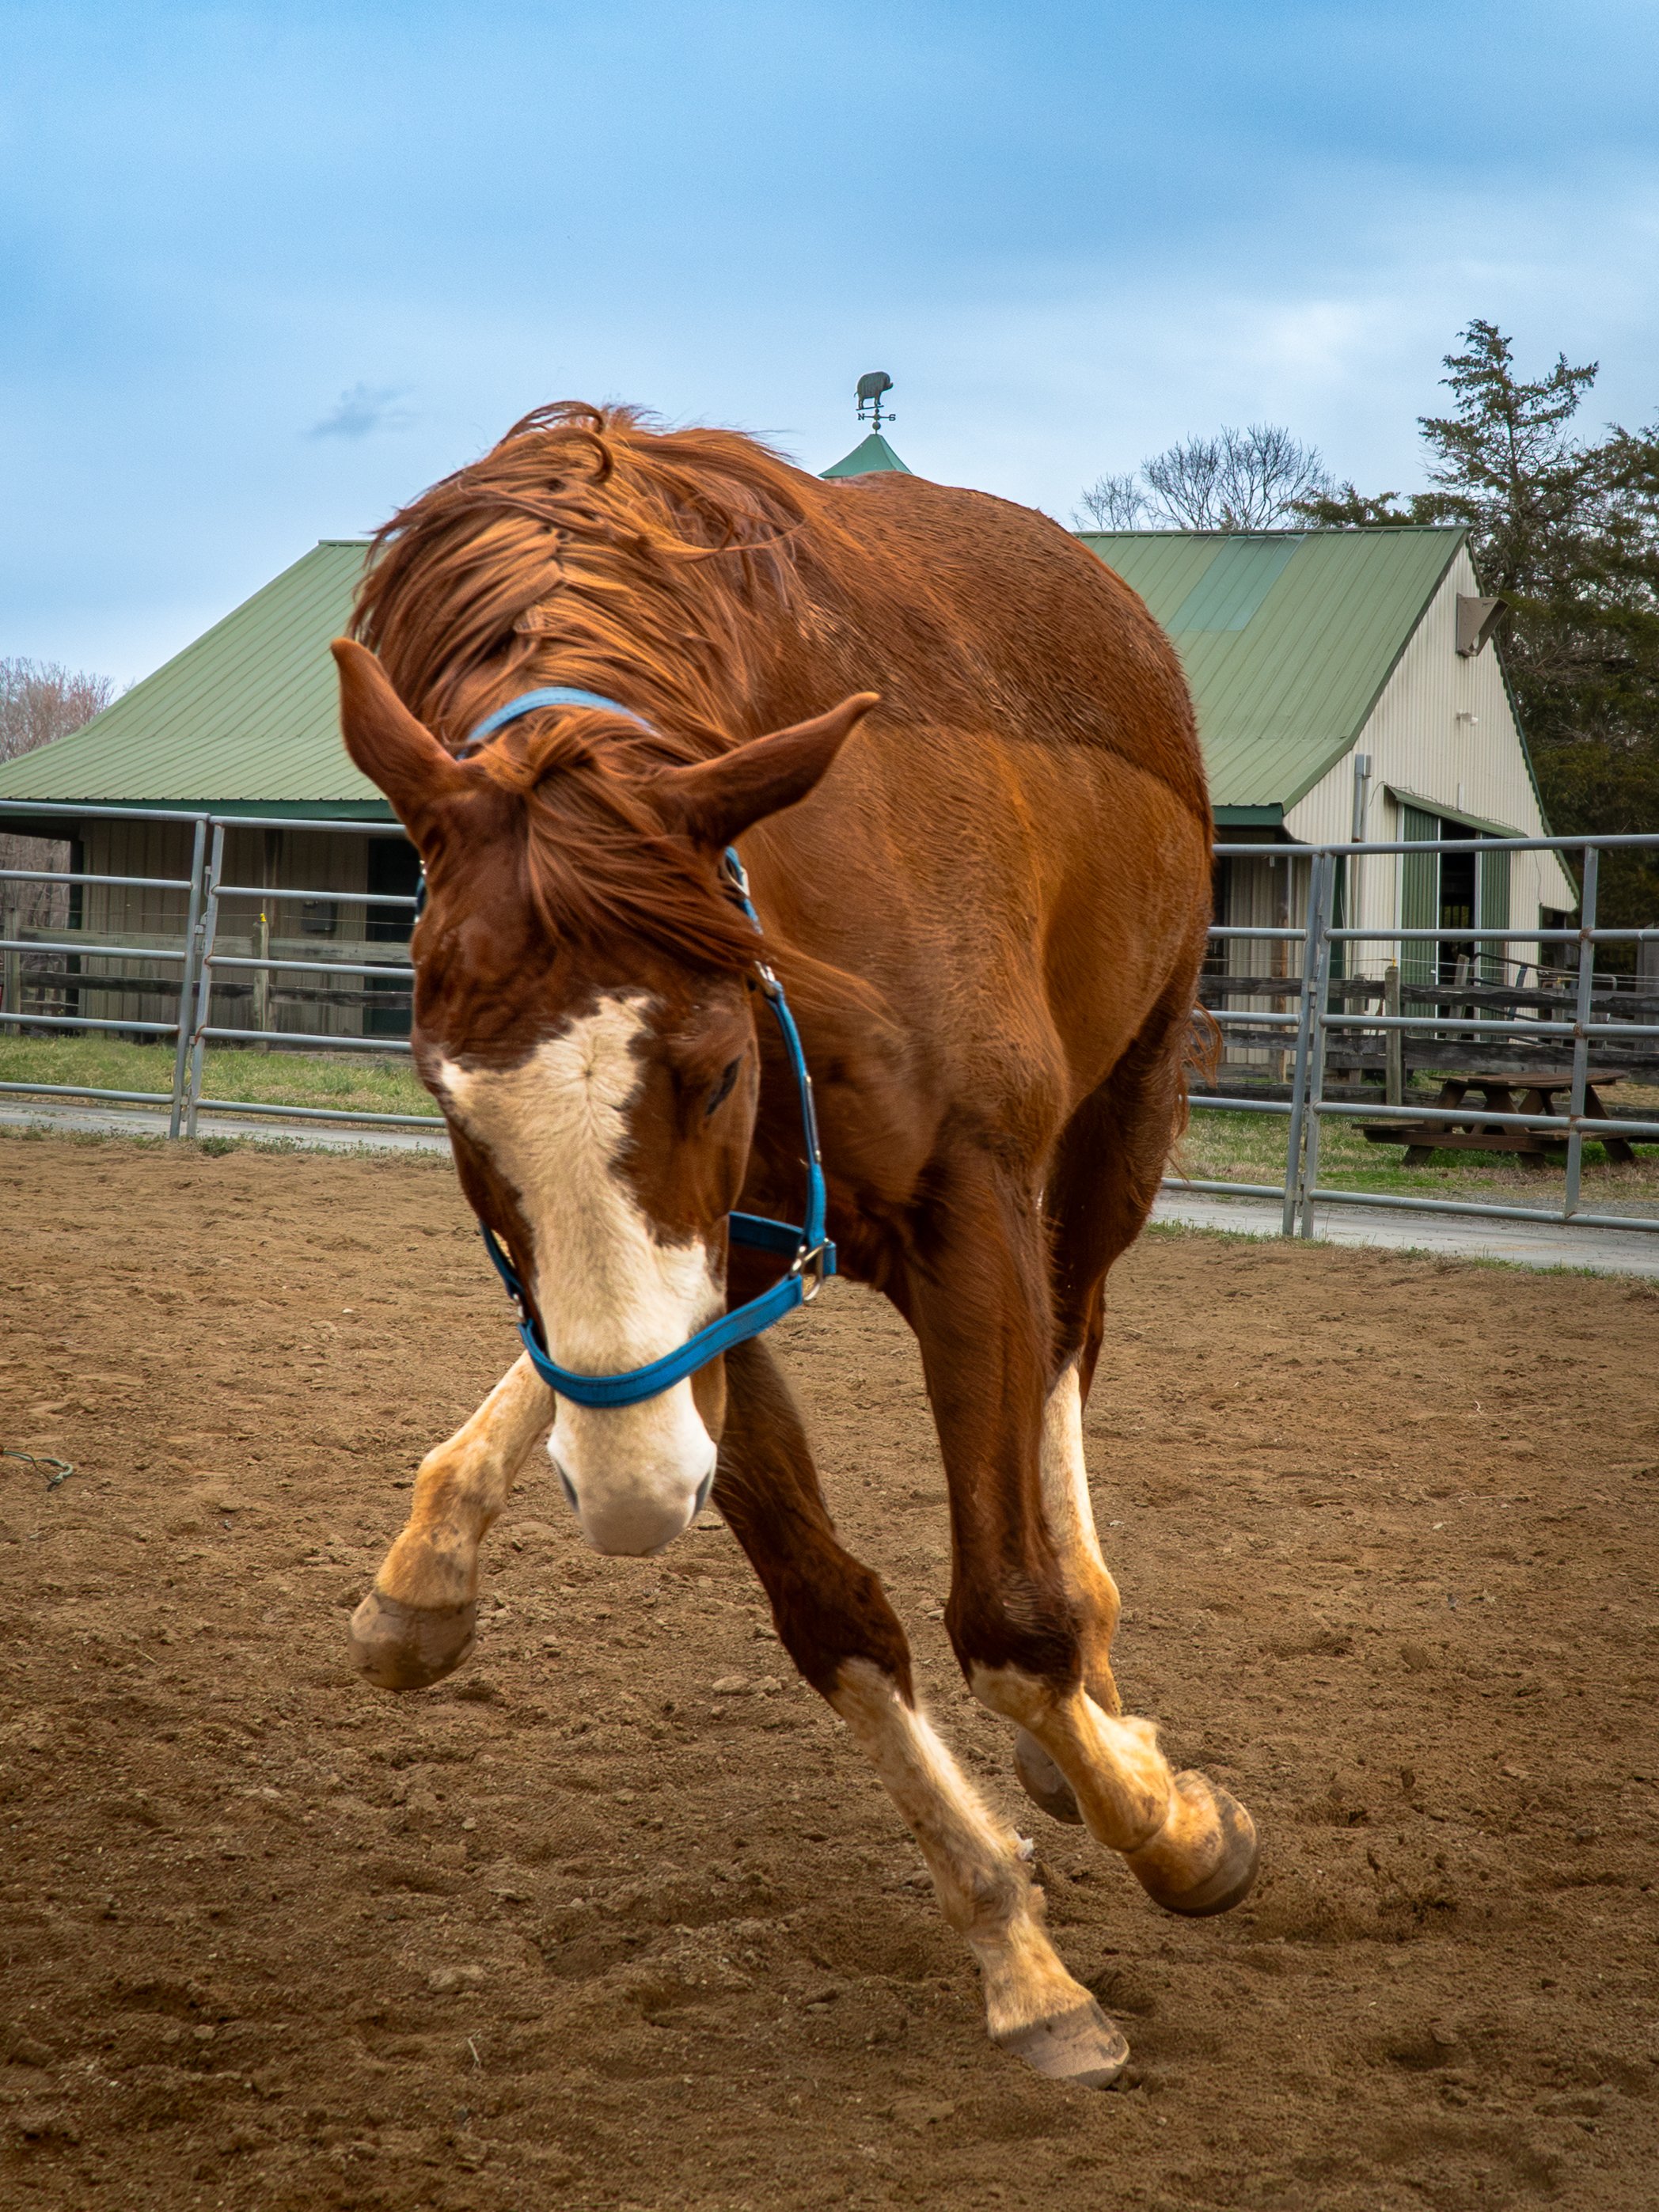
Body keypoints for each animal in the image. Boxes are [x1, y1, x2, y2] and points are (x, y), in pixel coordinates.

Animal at [331, 402, 1257, 2092]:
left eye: (707, 1070)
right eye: (443, 1096)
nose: (633, 1500)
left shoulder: (970, 1212)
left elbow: (1009, 1621)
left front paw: (1169, 1826)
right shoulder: (718, 1277)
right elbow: (833, 1612)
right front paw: (1020, 1957)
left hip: (1123, 1125)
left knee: (1072, 1353)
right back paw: (428, 1569)